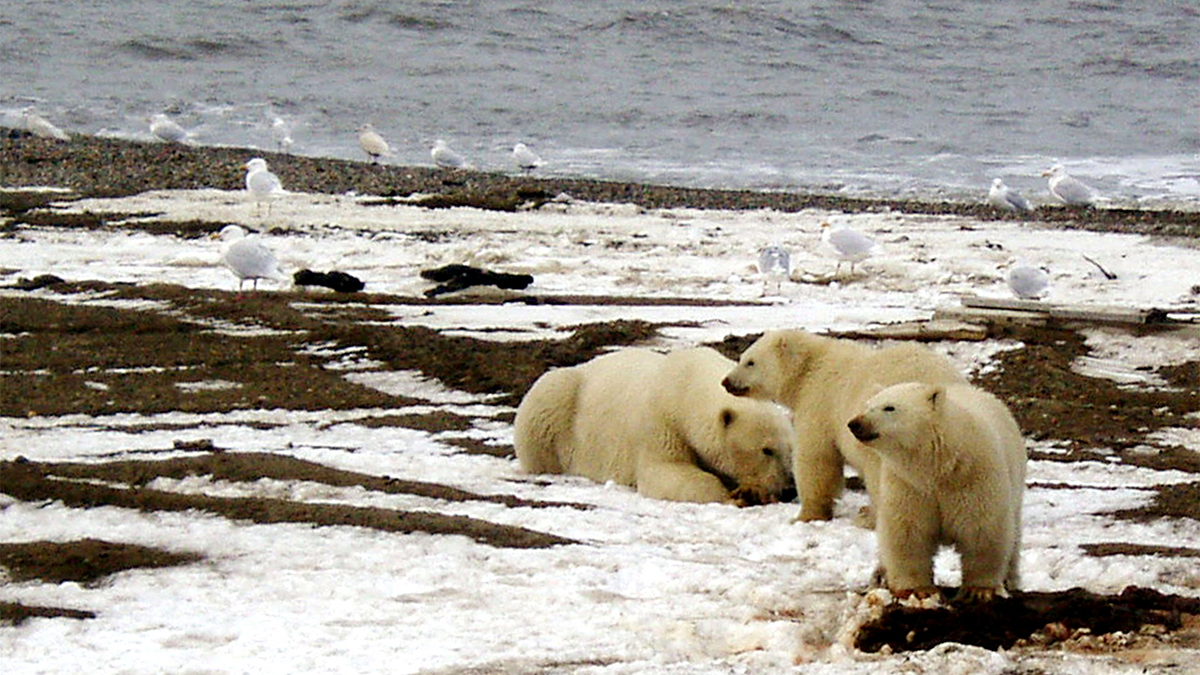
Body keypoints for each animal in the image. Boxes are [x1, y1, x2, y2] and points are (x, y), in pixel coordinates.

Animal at [514, 346, 795, 505]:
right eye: (766, 449)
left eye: (790, 450)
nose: (788, 489)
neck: (686, 387)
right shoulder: (661, 423)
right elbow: (666, 471)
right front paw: (735, 496)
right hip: (559, 402)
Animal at [721, 329, 967, 522]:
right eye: (742, 357)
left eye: (750, 362)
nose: (726, 382)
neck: (810, 367)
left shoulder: (821, 401)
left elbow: (817, 457)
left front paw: (807, 515)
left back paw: (870, 517)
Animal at [847, 381, 1026, 601]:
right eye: (867, 405)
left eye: (889, 407)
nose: (854, 423)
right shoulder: (908, 485)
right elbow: (908, 531)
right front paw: (917, 590)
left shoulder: (974, 477)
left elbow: (982, 529)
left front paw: (979, 589)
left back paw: (1010, 580)